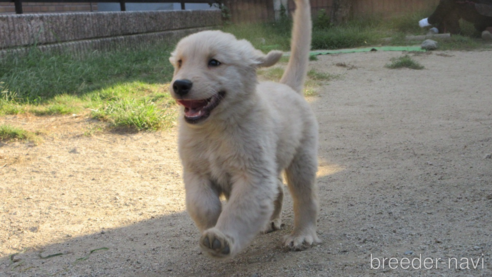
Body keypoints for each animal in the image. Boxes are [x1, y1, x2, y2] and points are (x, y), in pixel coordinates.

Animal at [167, 0, 320, 256]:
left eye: (214, 62)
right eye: (180, 63)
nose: (179, 85)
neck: (214, 129)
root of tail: (287, 86)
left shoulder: (252, 175)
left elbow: (239, 209)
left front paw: (220, 238)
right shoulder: (195, 172)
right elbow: (202, 204)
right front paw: (211, 227)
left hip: (302, 159)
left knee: (304, 198)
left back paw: (301, 235)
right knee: (278, 188)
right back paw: (271, 221)